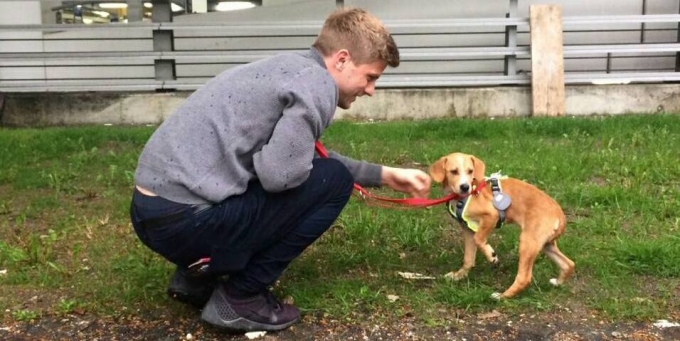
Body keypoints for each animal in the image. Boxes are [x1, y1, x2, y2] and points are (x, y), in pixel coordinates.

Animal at [430, 151, 572, 298]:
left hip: (527, 243)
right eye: (453, 171)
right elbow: (468, 259)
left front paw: (491, 256)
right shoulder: (468, 230)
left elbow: (479, 239)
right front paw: (459, 275)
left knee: (524, 278)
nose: (465, 187)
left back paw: (502, 296)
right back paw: (558, 282)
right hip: (545, 244)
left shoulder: (492, 216)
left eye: (470, 171)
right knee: (568, 264)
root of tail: (560, 215)